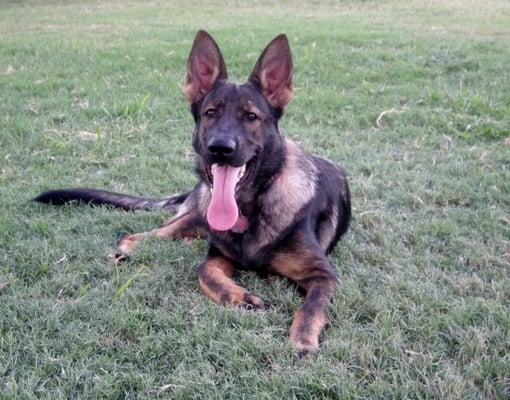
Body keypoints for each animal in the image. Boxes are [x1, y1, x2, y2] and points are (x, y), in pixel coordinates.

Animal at [35, 31, 350, 356]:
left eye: (251, 116)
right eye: (211, 113)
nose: (220, 148)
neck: (250, 209)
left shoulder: (323, 275)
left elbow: (312, 306)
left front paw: (303, 340)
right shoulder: (216, 256)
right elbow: (204, 271)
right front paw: (238, 296)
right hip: (196, 218)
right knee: (139, 235)